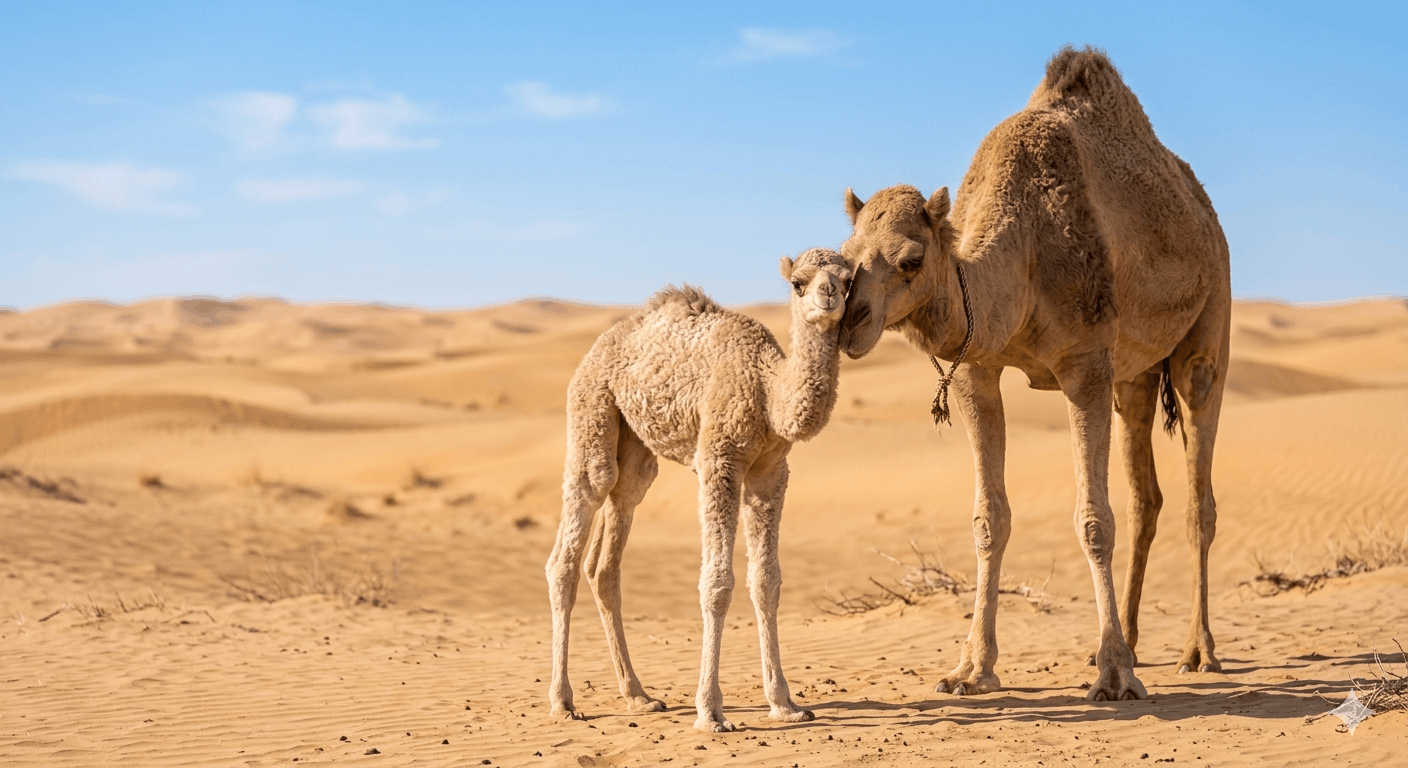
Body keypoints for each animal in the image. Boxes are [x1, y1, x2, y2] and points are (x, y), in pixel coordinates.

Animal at [546, 248, 852, 732]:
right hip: (591, 408)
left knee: (609, 551)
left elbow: (767, 582)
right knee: (572, 539)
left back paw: (639, 696)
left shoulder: (770, 473)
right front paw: (710, 711)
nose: (827, 295)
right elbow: (718, 583)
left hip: (635, 450)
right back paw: (563, 701)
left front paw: (785, 703)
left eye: (848, 279)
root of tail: (599, 345)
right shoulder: (719, 461)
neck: (767, 389)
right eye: (799, 282)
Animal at [837, 47, 1231, 702]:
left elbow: (1094, 520)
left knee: (1199, 495)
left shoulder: (1086, 363)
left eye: (911, 260)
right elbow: (989, 518)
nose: (848, 322)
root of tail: (1203, 206)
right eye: (845, 257)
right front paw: (972, 669)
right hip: (1134, 376)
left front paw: (1114, 676)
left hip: (1209, 319)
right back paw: (1133, 640)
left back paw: (1196, 651)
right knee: (1146, 496)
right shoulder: (977, 370)